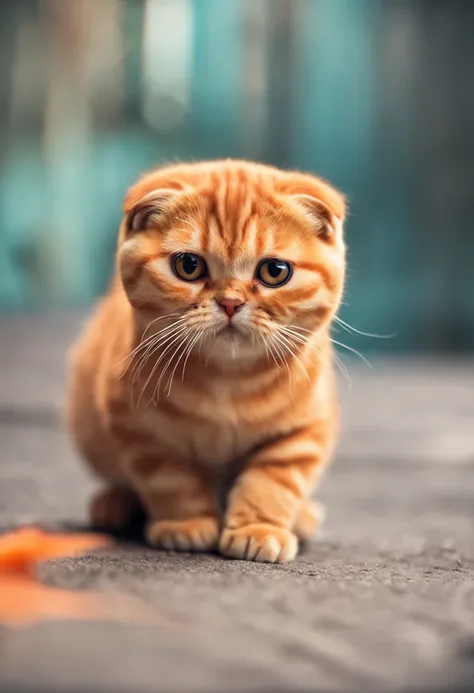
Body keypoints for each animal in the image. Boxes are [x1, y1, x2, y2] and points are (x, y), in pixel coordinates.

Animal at [66, 159, 346, 560]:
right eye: (188, 265)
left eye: (275, 271)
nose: (230, 302)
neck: (228, 381)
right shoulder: (139, 429)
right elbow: (171, 480)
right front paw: (186, 525)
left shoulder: (305, 430)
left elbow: (274, 481)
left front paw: (257, 528)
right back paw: (113, 504)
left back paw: (304, 516)